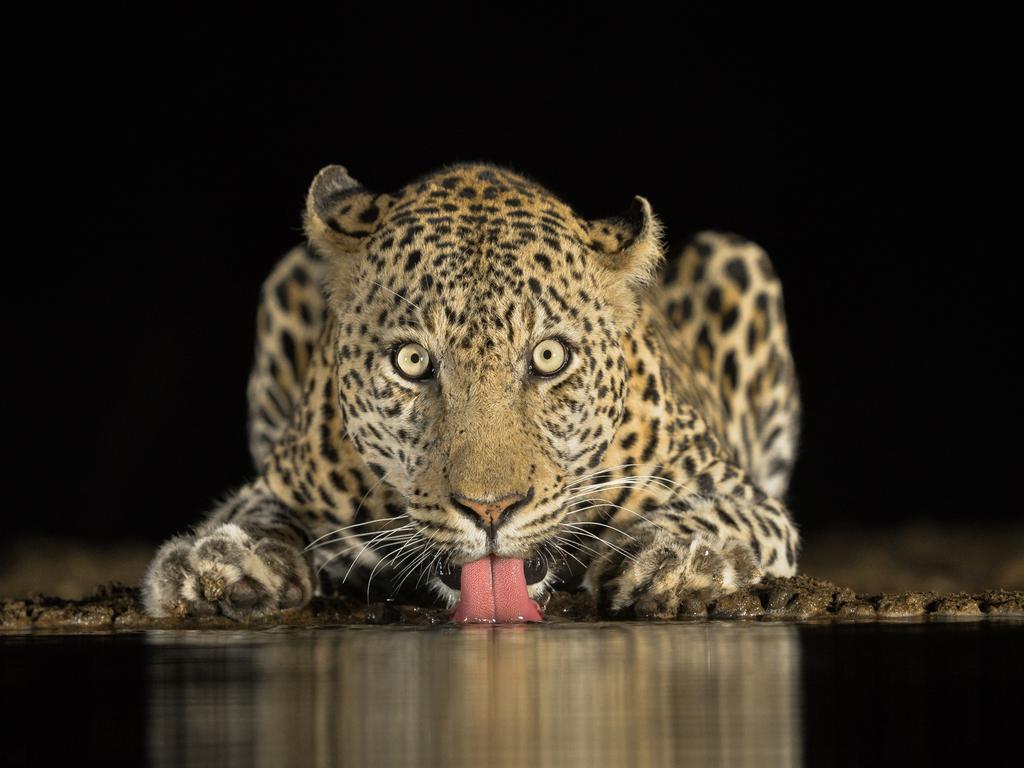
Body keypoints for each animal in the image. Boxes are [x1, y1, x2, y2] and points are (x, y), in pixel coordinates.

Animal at [142, 162, 798, 626]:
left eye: (549, 357)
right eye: (412, 362)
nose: (490, 510)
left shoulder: (738, 489)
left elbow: (724, 514)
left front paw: (676, 558)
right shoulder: (281, 483)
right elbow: (254, 515)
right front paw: (219, 561)